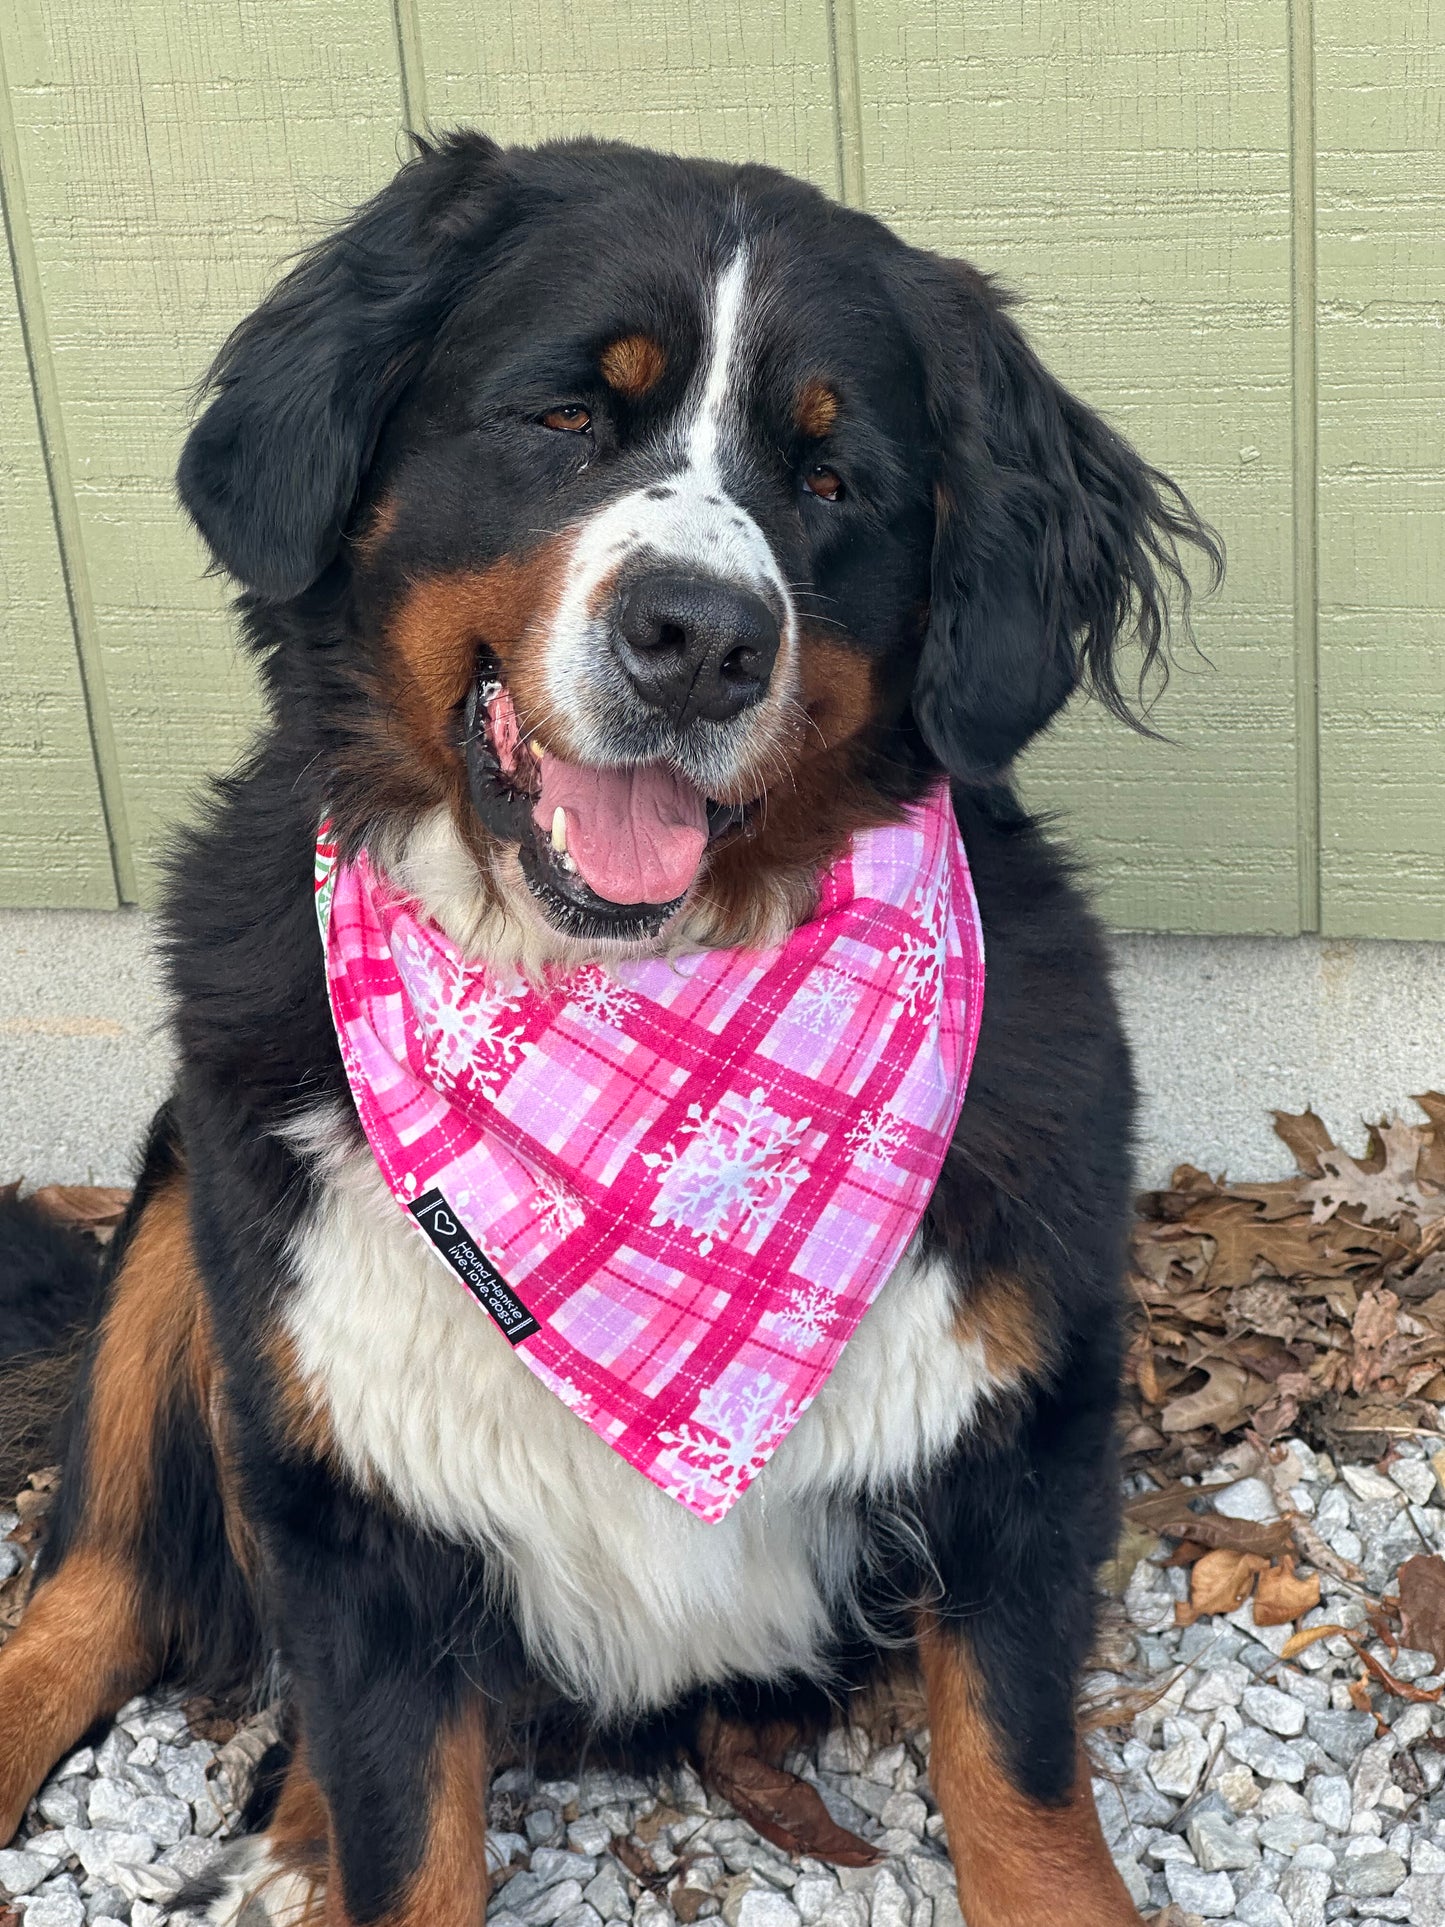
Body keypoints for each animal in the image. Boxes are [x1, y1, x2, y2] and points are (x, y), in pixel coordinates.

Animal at [0, 135, 1225, 1927]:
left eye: (832, 480)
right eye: (566, 414)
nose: (702, 637)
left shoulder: (1024, 1437)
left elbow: (1019, 1783)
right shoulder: (344, 1492)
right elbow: (401, 1829)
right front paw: (344, 1837)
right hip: (178, 1230)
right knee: (96, 1591)